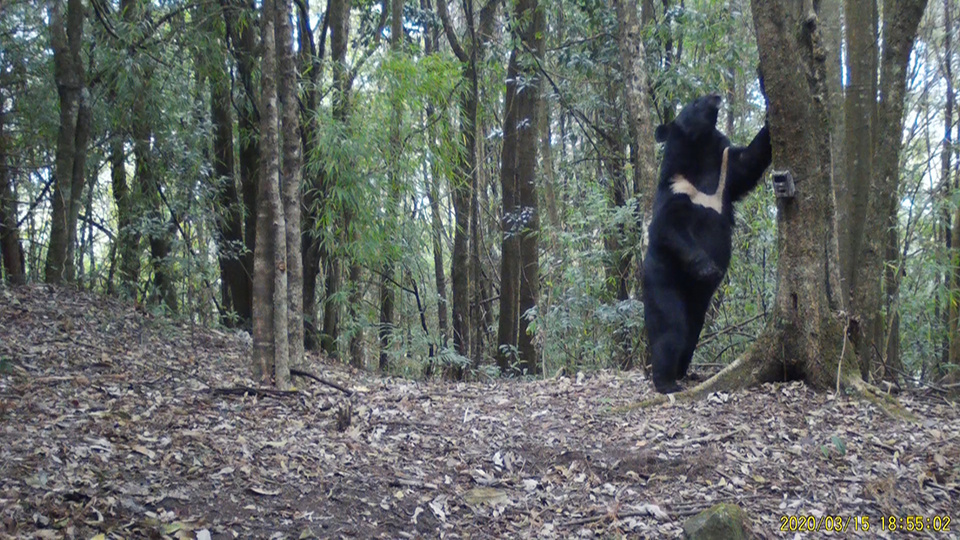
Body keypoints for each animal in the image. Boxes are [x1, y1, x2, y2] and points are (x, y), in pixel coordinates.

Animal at [644, 95, 772, 394]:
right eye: (694, 103)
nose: (715, 95)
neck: (699, 152)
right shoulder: (675, 190)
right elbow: (668, 229)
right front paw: (708, 268)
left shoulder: (726, 174)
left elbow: (750, 160)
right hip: (661, 277)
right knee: (671, 328)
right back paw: (666, 381)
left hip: (698, 303)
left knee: (692, 331)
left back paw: (682, 372)